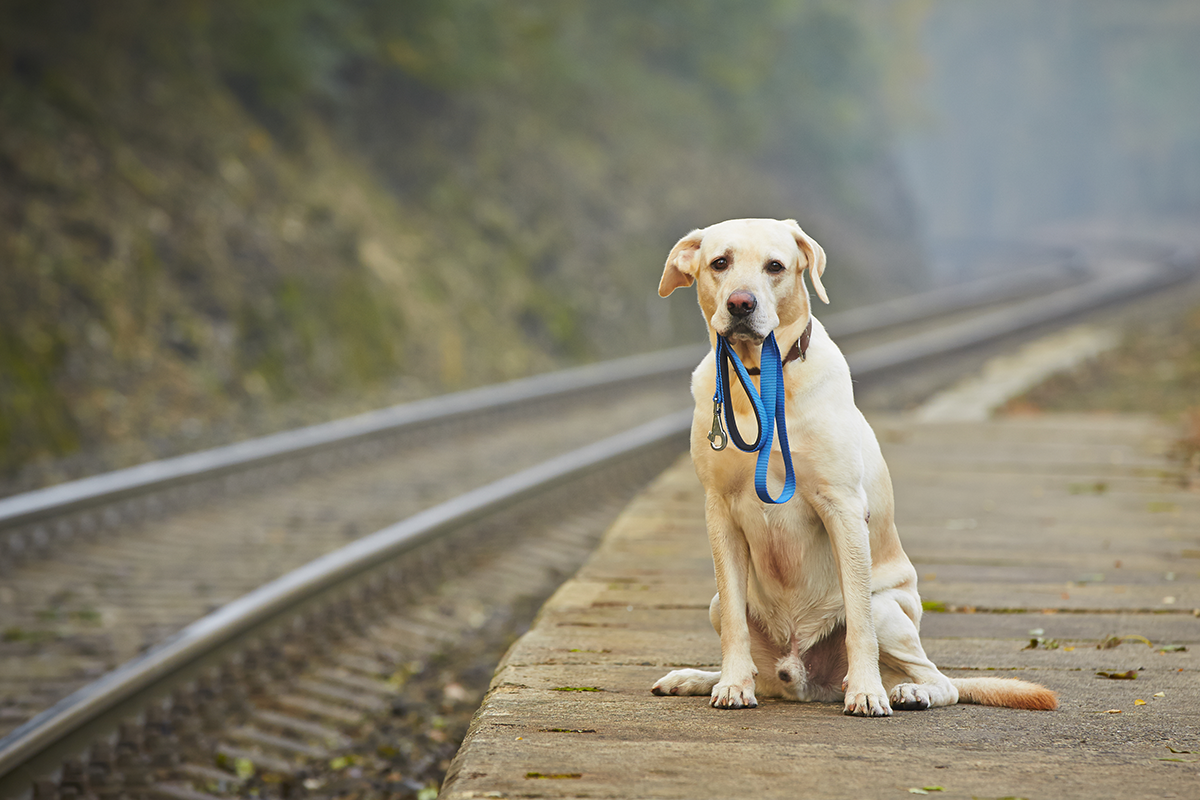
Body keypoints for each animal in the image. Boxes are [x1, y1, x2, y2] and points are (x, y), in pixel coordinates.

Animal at [652, 215, 1056, 714]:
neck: (762, 381)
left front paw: (866, 691)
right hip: (718, 607)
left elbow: (858, 622)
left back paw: (907, 690)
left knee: (940, 679)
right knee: (751, 655)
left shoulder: (842, 508)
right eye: (719, 263)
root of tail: (803, 679)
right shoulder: (720, 511)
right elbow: (734, 622)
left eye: (775, 266)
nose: (740, 303)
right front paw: (730, 684)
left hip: (891, 613)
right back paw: (698, 678)